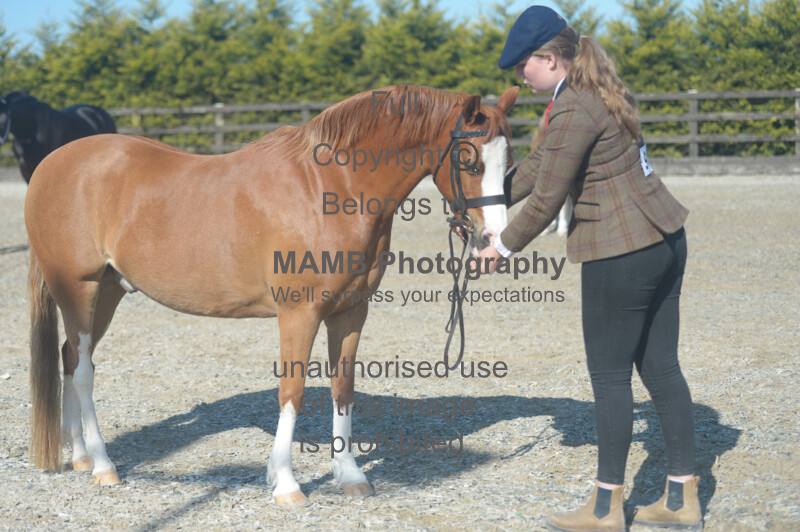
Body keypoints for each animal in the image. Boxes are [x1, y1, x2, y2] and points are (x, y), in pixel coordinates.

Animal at [25, 84, 520, 504]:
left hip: (107, 293)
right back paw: (103, 465)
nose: (494, 241)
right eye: (470, 161)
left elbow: (342, 387)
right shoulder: (299, 313)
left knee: (71, 357)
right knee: (83, 371)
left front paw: (350, 475)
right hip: (79, 288)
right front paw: (285, 483)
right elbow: (293, 389)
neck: (331, 187)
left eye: (509, 161)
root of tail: (51, 165)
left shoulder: (351, 312)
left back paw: (79, 455)